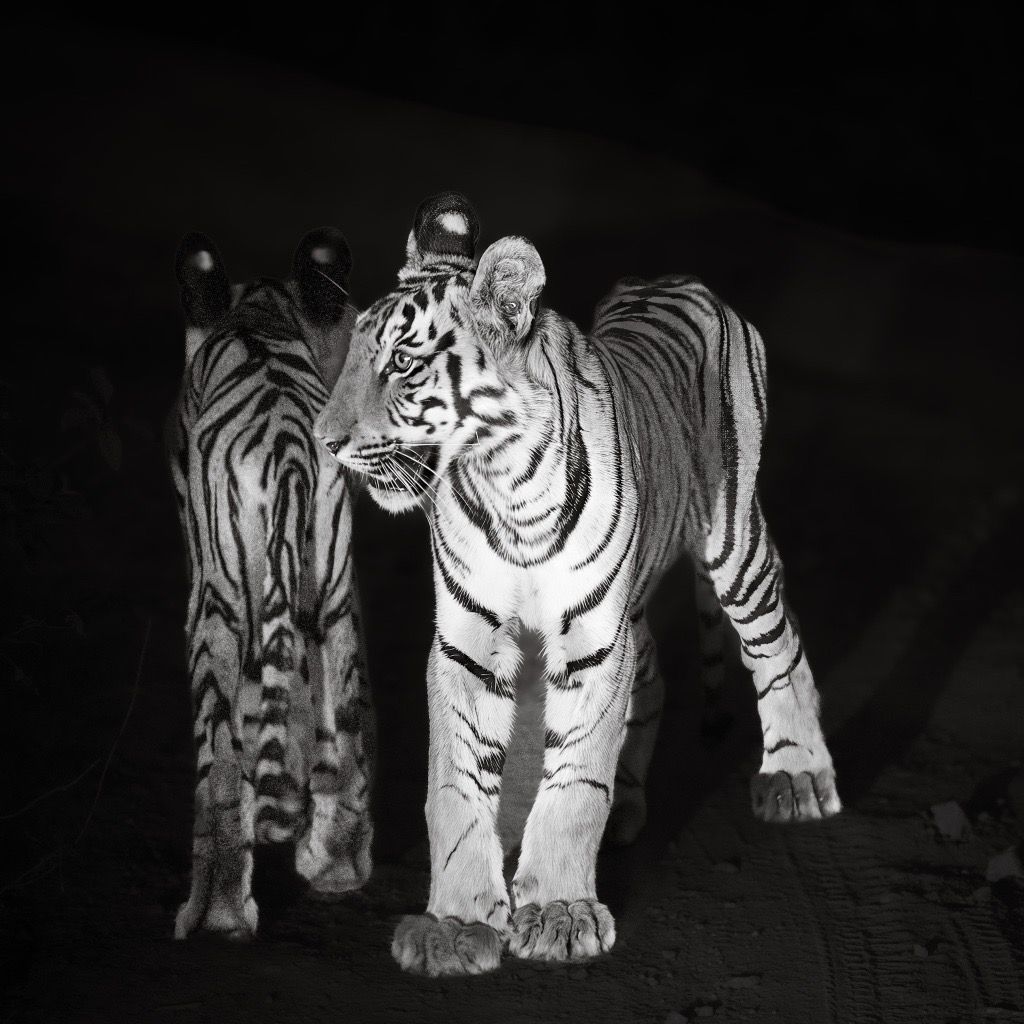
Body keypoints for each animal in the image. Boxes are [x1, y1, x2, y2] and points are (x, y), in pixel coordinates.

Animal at [169, 229, 374, 940]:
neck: (260, 311)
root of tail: (286, 448)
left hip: (221, 607)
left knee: (220, 765)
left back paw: (219, 912)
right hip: (334, 593)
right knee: (348, 720)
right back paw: (336, 866)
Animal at [314, 192, 841, 976]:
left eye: (404, 364)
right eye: (352, 357)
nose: (326, 441)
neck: (506, 484)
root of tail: (676, 277)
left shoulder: (594, 642)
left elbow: (572, 787)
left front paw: (559, 915)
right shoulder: (468, 643)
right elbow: (457, 787)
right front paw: (455, 926)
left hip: (733, 538)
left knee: (779, 645)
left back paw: (798, 775)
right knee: (653, 676)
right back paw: (628, 804)